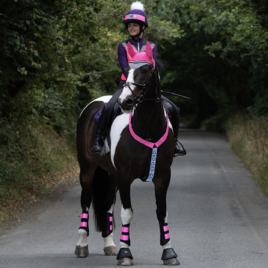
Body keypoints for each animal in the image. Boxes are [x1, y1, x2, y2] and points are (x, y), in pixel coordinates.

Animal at [75, 42, 180, 266]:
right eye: (128, 69)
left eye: (146, 69)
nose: (126, 101)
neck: (147, 128)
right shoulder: (125, 176)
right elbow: (126, 213)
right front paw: (125, 253)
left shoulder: (162, 176)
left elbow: (162, 211)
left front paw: (169, 252)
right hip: (87, 168)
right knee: (86, 200)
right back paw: (82, 245)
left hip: (112, 174)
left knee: (106, 201)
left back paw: (109, 245)